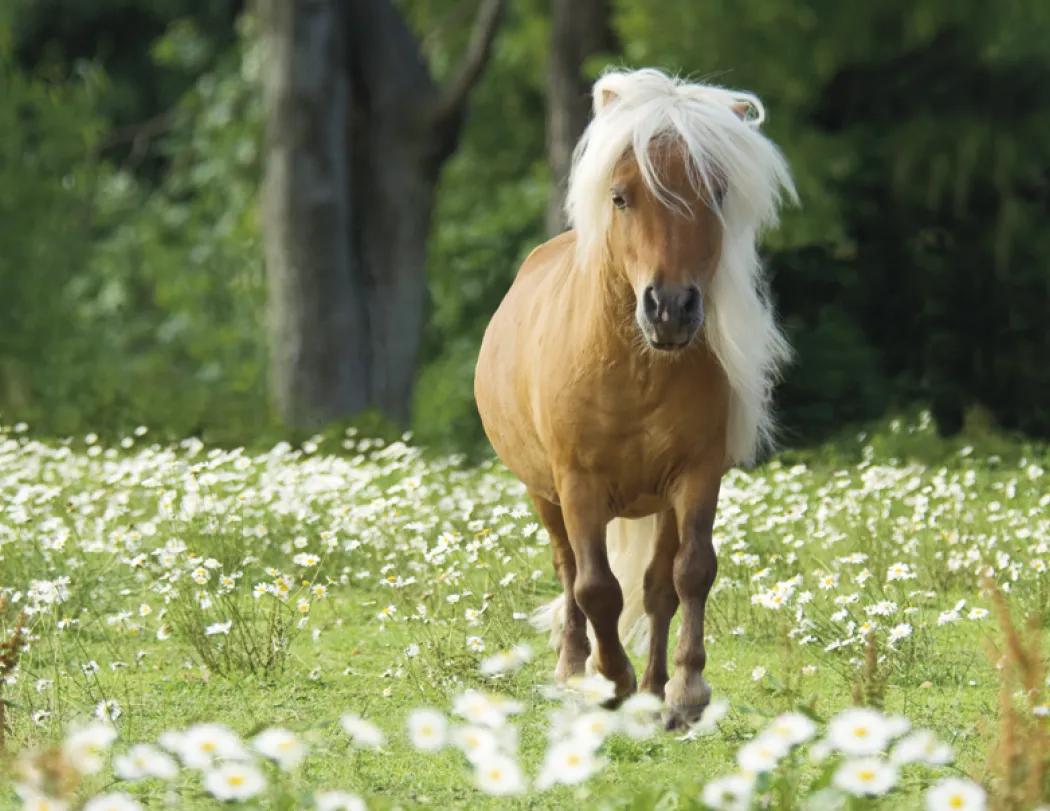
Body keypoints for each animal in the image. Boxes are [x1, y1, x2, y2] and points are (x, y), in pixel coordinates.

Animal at [474, 68, 795, 728]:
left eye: (716, 194)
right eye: (621, 197)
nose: (670, 308)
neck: (637, 371)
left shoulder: (696, 476)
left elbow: (688, 575)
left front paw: (683, 693)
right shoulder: (577, 484)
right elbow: (595, 587)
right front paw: (609, 679)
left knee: (654, 586)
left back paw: (651, 688)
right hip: (544, 494)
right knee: (569, 572)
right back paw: (574, 669)